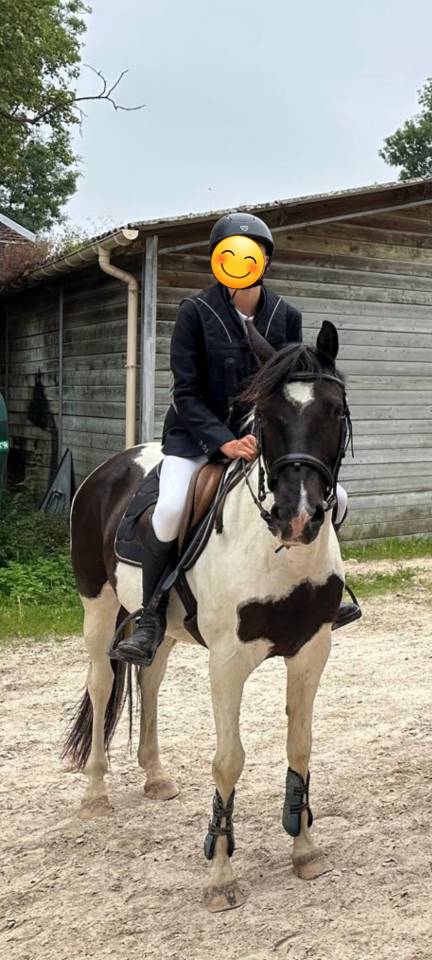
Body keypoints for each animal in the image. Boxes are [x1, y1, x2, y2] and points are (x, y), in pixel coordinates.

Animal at [64, 319, 350, 913]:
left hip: (159, 626)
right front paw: (220, 875)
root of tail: (109, 468)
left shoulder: (312, 650)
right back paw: (96, 793)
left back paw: (154, 776)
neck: (276, 552)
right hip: (98, 608)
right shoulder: (228, 662)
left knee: (148, 678)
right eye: (265, 415)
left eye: (334, 410)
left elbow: (301, 744)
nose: (297, 517)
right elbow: (228, 760)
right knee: (102, 685)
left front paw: (305, 850)